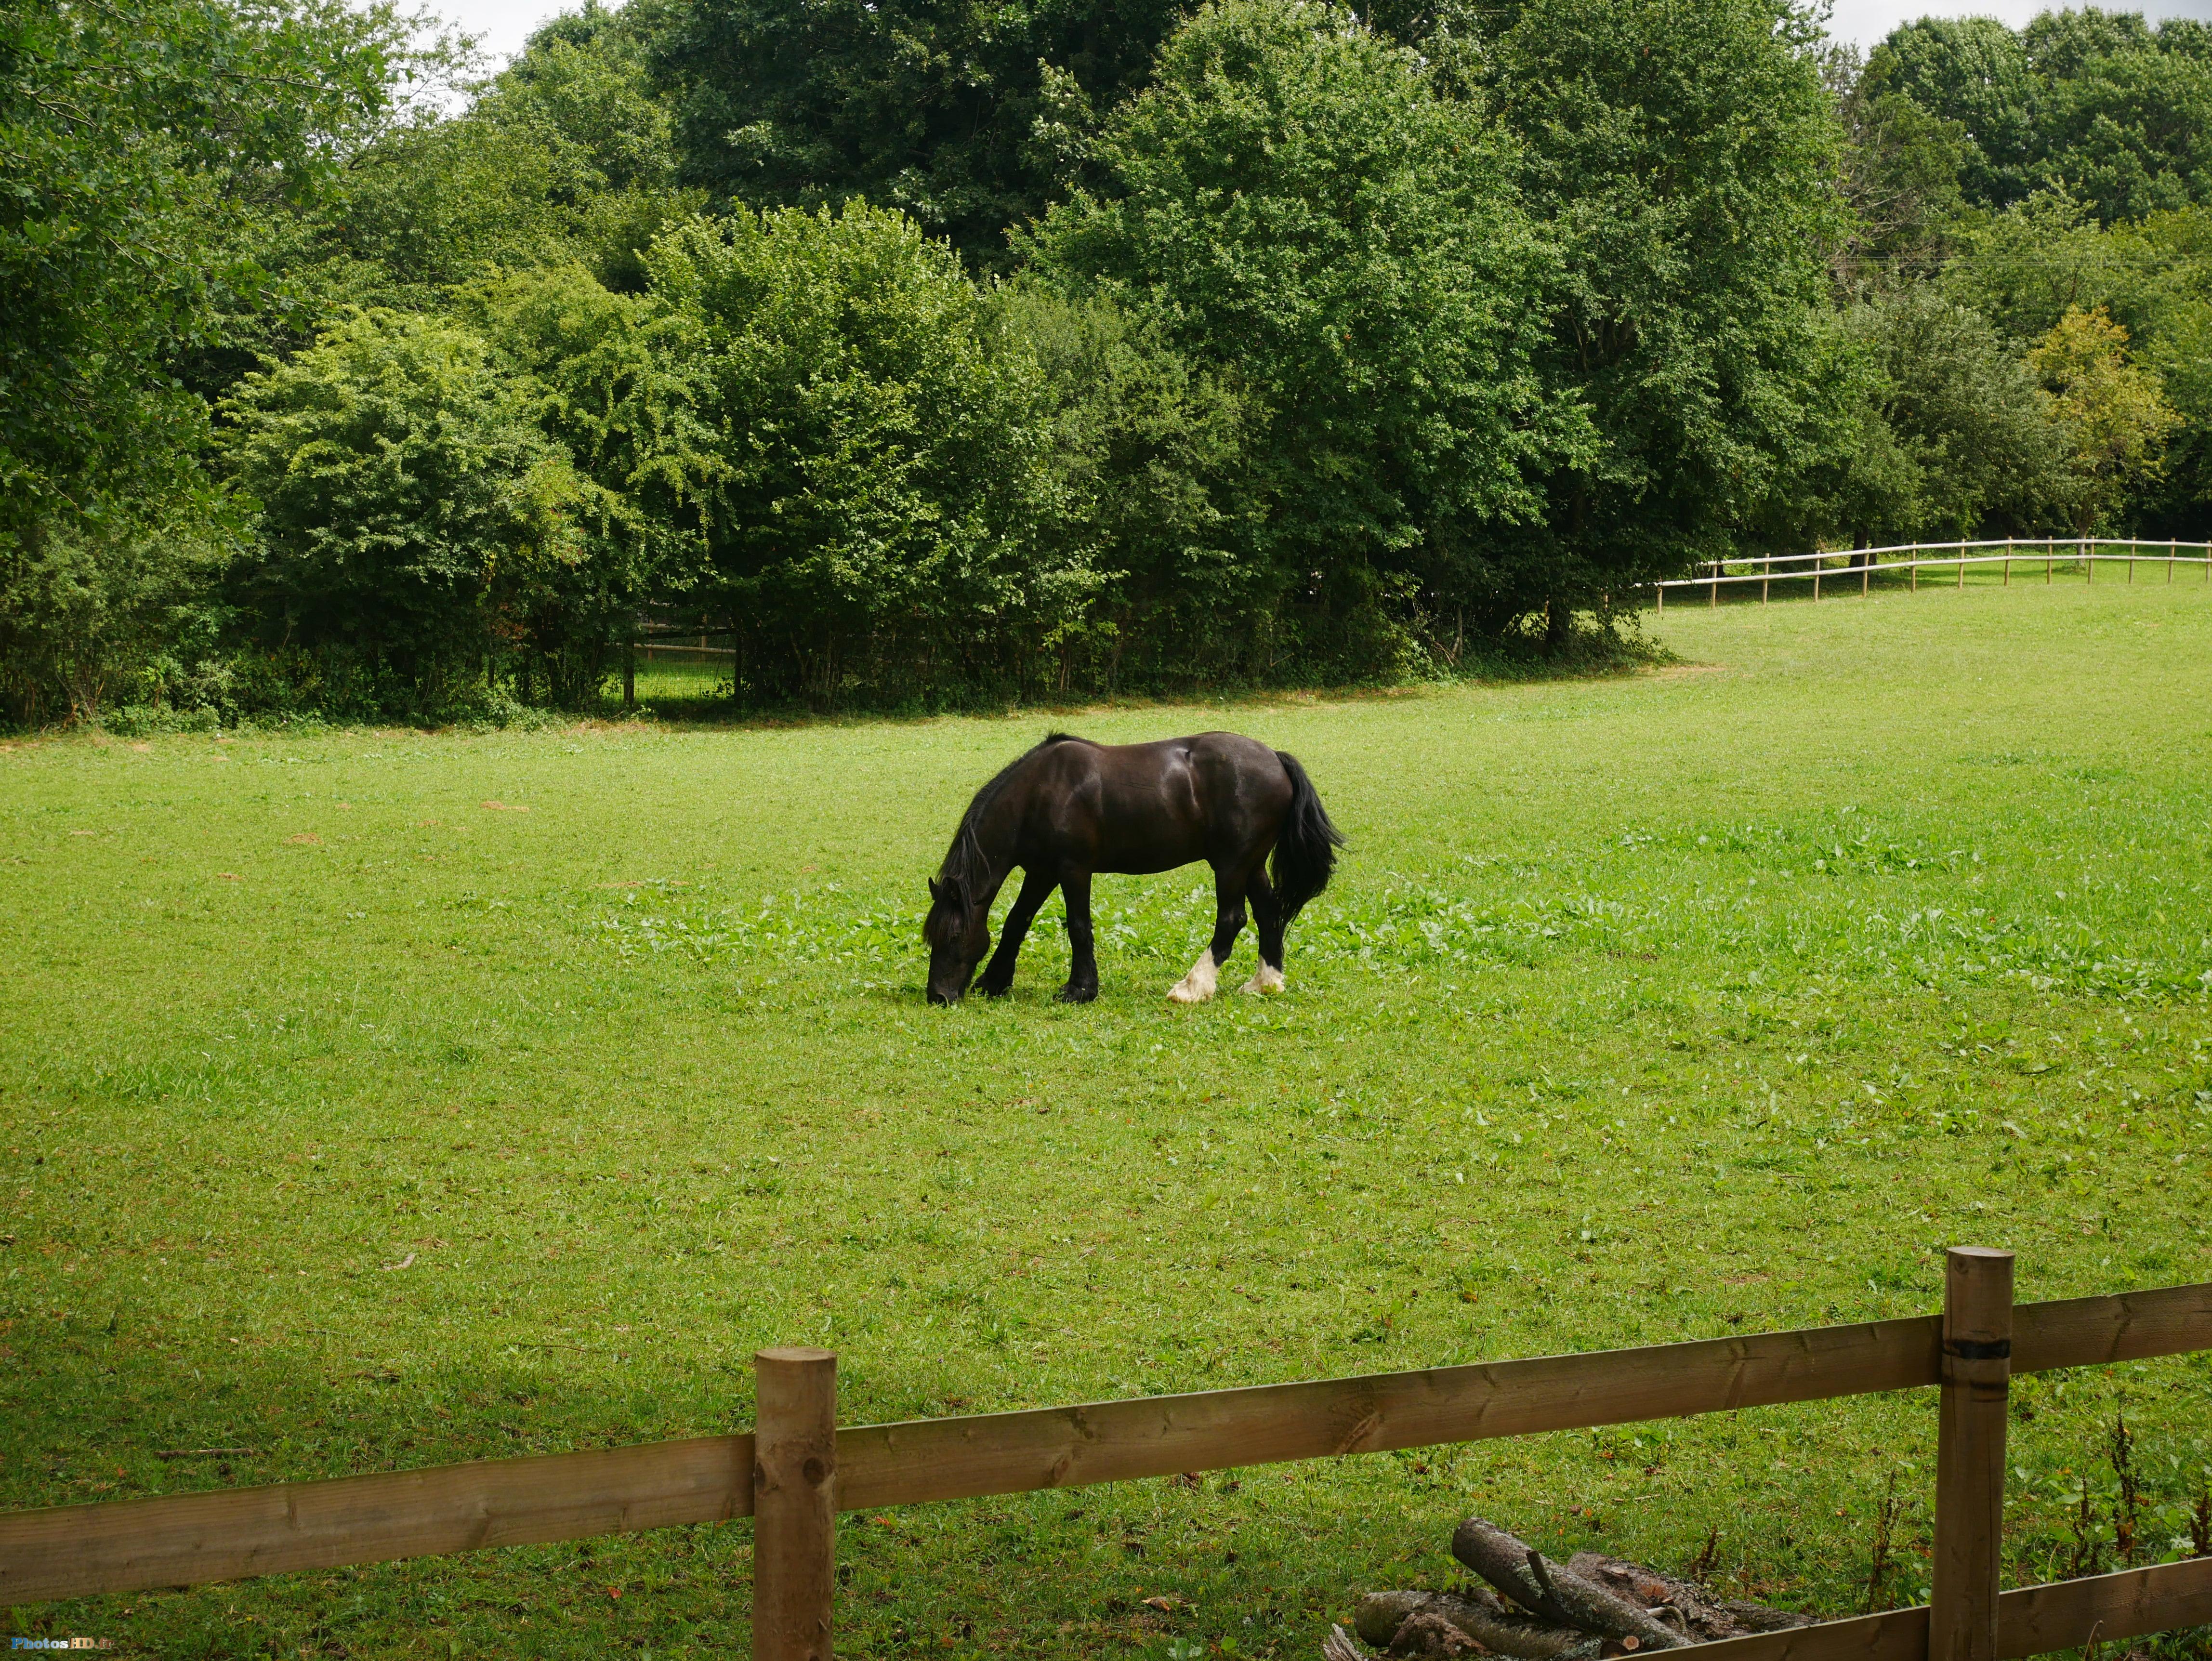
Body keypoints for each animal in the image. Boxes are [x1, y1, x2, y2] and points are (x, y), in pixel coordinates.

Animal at [920, 734, 1336, 1008]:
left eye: (954, 935)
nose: (938, 996)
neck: (1040, 793)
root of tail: (1276, 759)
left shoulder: (1073, 870)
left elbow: (1078, 927)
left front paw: (1080, 990)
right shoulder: (1041, 872)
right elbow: (1016, 921)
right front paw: (994, 981)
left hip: (1231, 864)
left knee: (1232, 920)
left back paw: (1192, 987)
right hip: (1251, 863)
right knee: (1268, 913)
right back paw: (1266, 983)